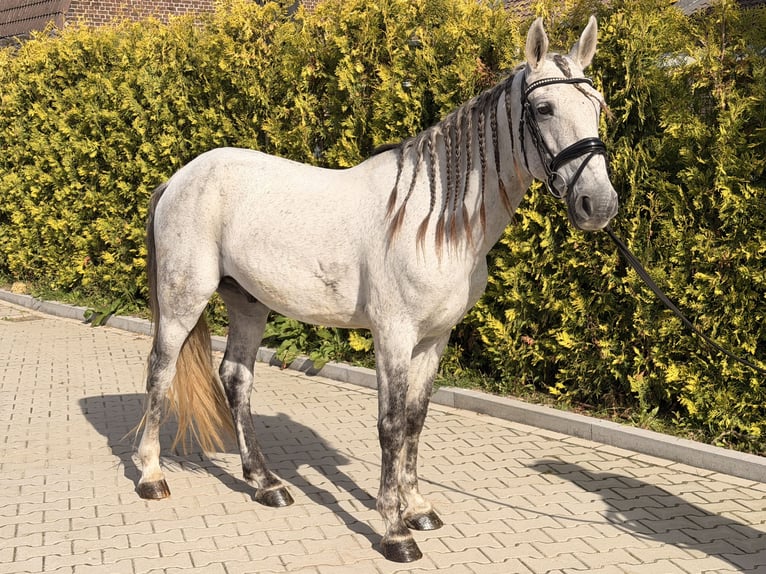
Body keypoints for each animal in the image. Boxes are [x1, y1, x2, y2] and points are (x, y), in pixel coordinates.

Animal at [135, 16, 618, 563]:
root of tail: (179, 178)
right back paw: (151, 476)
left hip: (248, 304)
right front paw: (395, 530)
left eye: (597, 106)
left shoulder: (433, 339)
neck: (434, 221)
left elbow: (415, 420)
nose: (599, 204)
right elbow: (390, 424)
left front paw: (418, 508)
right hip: (183, 300)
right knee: (160, 372)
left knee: (236, 379)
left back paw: (265, 483)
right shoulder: (393, 335)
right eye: (544, 108)